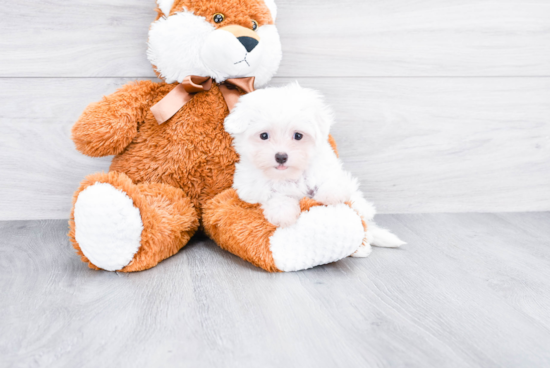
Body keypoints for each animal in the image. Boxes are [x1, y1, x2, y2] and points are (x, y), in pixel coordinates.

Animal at [226, 83, 408, 258]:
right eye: (264, 136)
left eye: (298, 136)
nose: (281, 156)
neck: (290, 175)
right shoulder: (251, 189)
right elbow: (275, 196)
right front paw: (284, 213)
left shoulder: (328, 169)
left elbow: (331, 182)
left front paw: (329, 194)